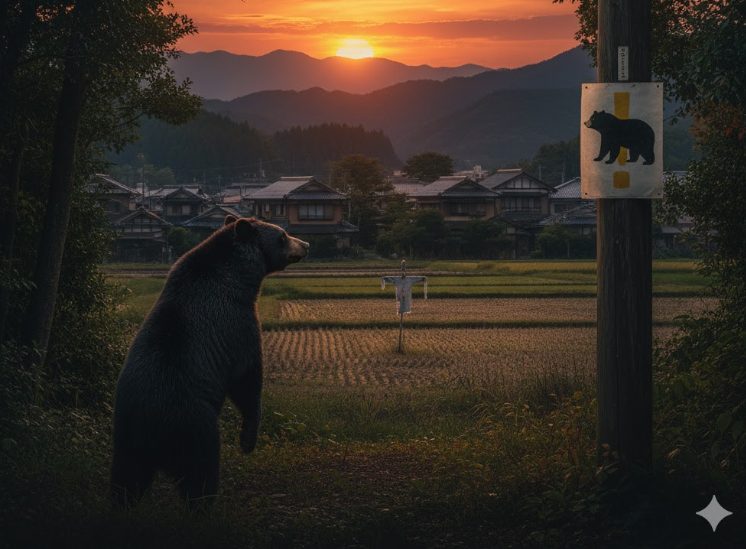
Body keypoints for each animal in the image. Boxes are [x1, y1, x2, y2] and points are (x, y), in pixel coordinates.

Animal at [111, 215, 309, 508]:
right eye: (282, 236)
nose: (305, 244)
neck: (240, 278)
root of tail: (150, 429)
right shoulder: (237, 325)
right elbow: (247, 380)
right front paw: (248, 440)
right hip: (193, 425)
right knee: (201, 472)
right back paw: (204, 505)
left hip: (125, 437)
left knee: (125, 479)